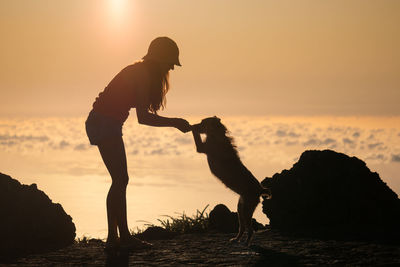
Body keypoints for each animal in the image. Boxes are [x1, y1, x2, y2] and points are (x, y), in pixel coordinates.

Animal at [191, 116, 272, 246]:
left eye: (203, 122)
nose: (194, 124)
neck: (216, 134)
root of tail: (259, 189)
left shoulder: (202, 147)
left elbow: (196, 137)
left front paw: (191, 127)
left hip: (247, 209)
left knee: (250, 229)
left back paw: (246, 243)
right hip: (240, 208)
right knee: (242, 227)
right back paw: (236, 239)